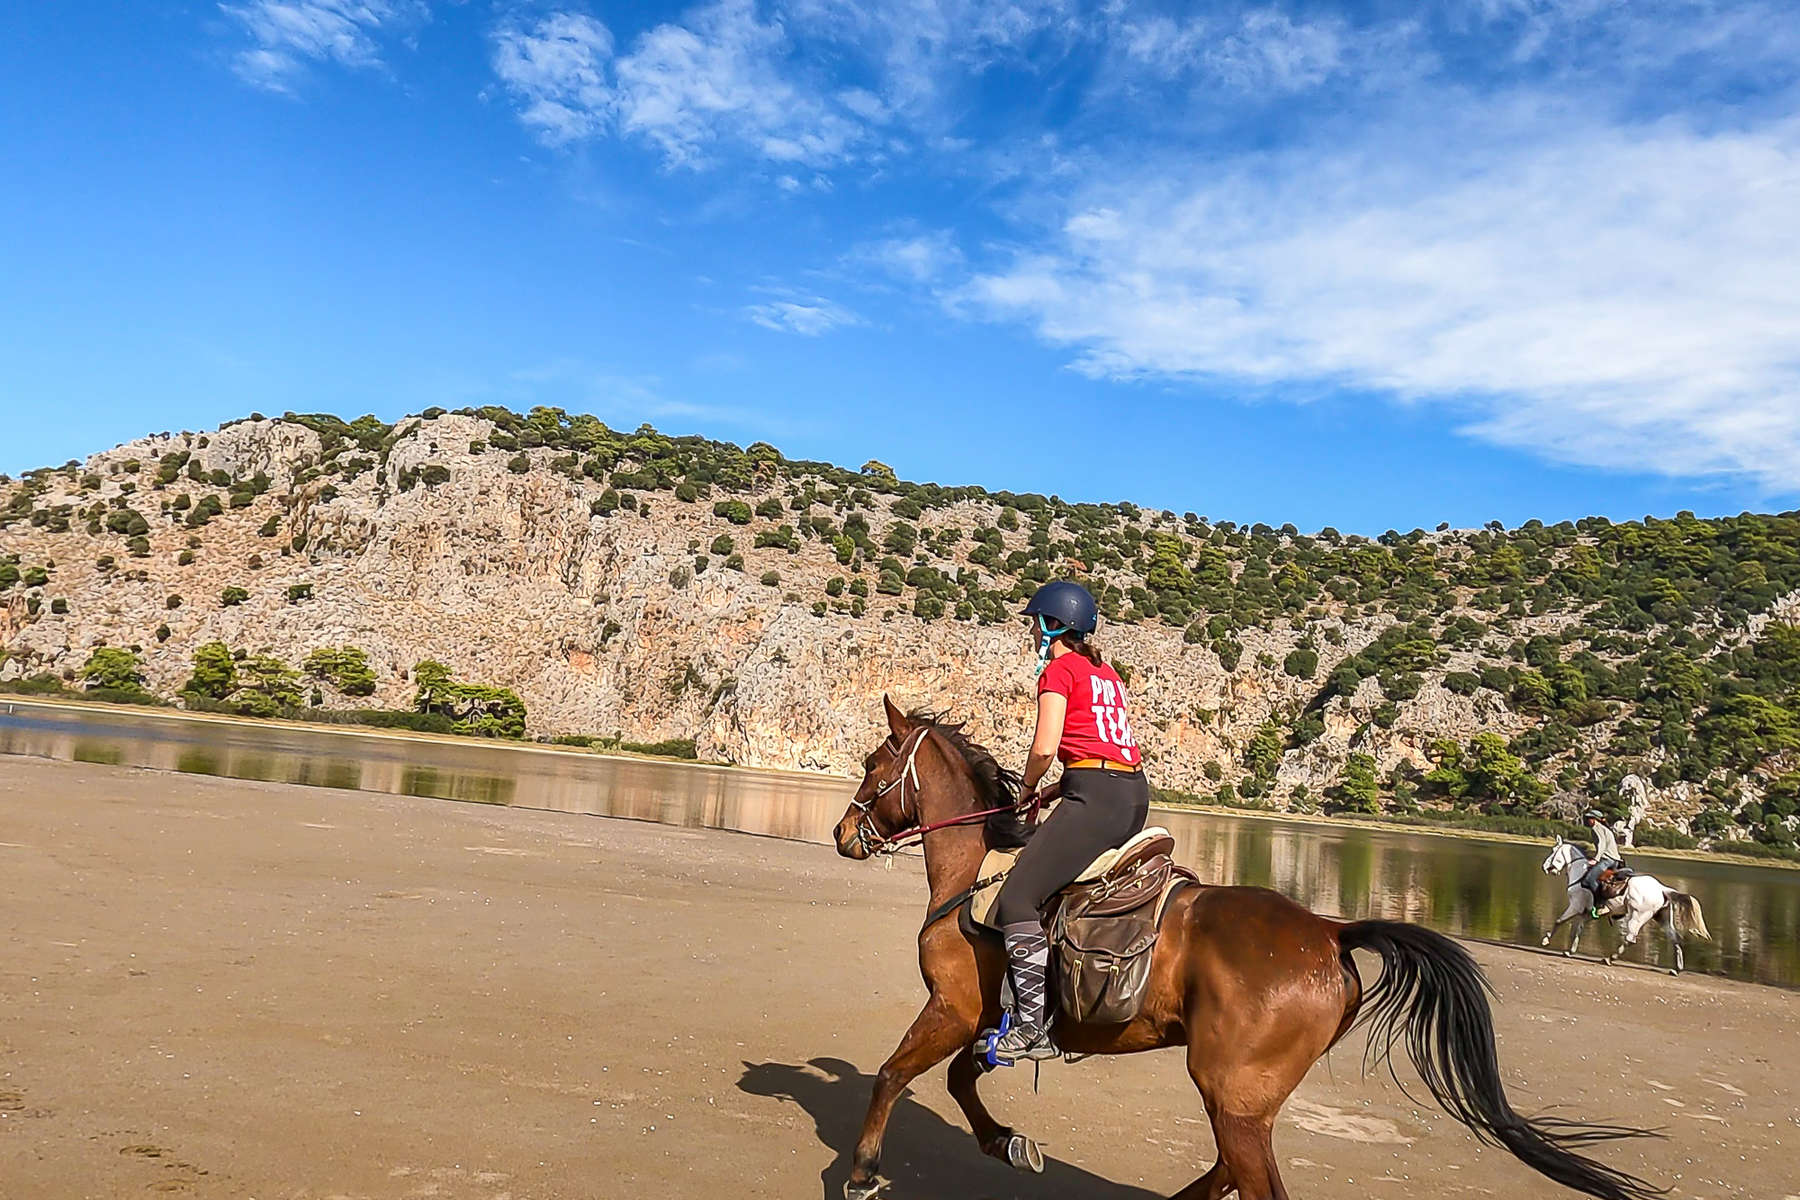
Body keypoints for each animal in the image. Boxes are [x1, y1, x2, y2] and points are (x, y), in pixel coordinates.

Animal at [835, 698, 1663, 1200]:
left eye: (875, 768)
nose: (843, 834)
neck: (968, 876)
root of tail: (1330, 932)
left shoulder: (952, 1008)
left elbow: (892, 1075)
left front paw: (864, 1170)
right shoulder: (982, 1021)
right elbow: (959, 1083)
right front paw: (1006, 1142)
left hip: (1229, 1091)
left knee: (1247, 1178)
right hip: (1244, 1099)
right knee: (1229, 1174)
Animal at [1540, 834, 1706, 978]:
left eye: (1553, 851)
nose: (1545, 867)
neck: (1581, 872)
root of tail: (1661, 889)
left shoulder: (1575, 906)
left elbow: (1559, 921)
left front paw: (1546, 940)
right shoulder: (1586, 913)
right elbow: (1578, 929)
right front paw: (1570, 950)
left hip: (1637, 917)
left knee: (1630, 938)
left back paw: (1610, 958)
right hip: (1662, 919)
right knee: (1675, 939)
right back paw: (1676, 969)